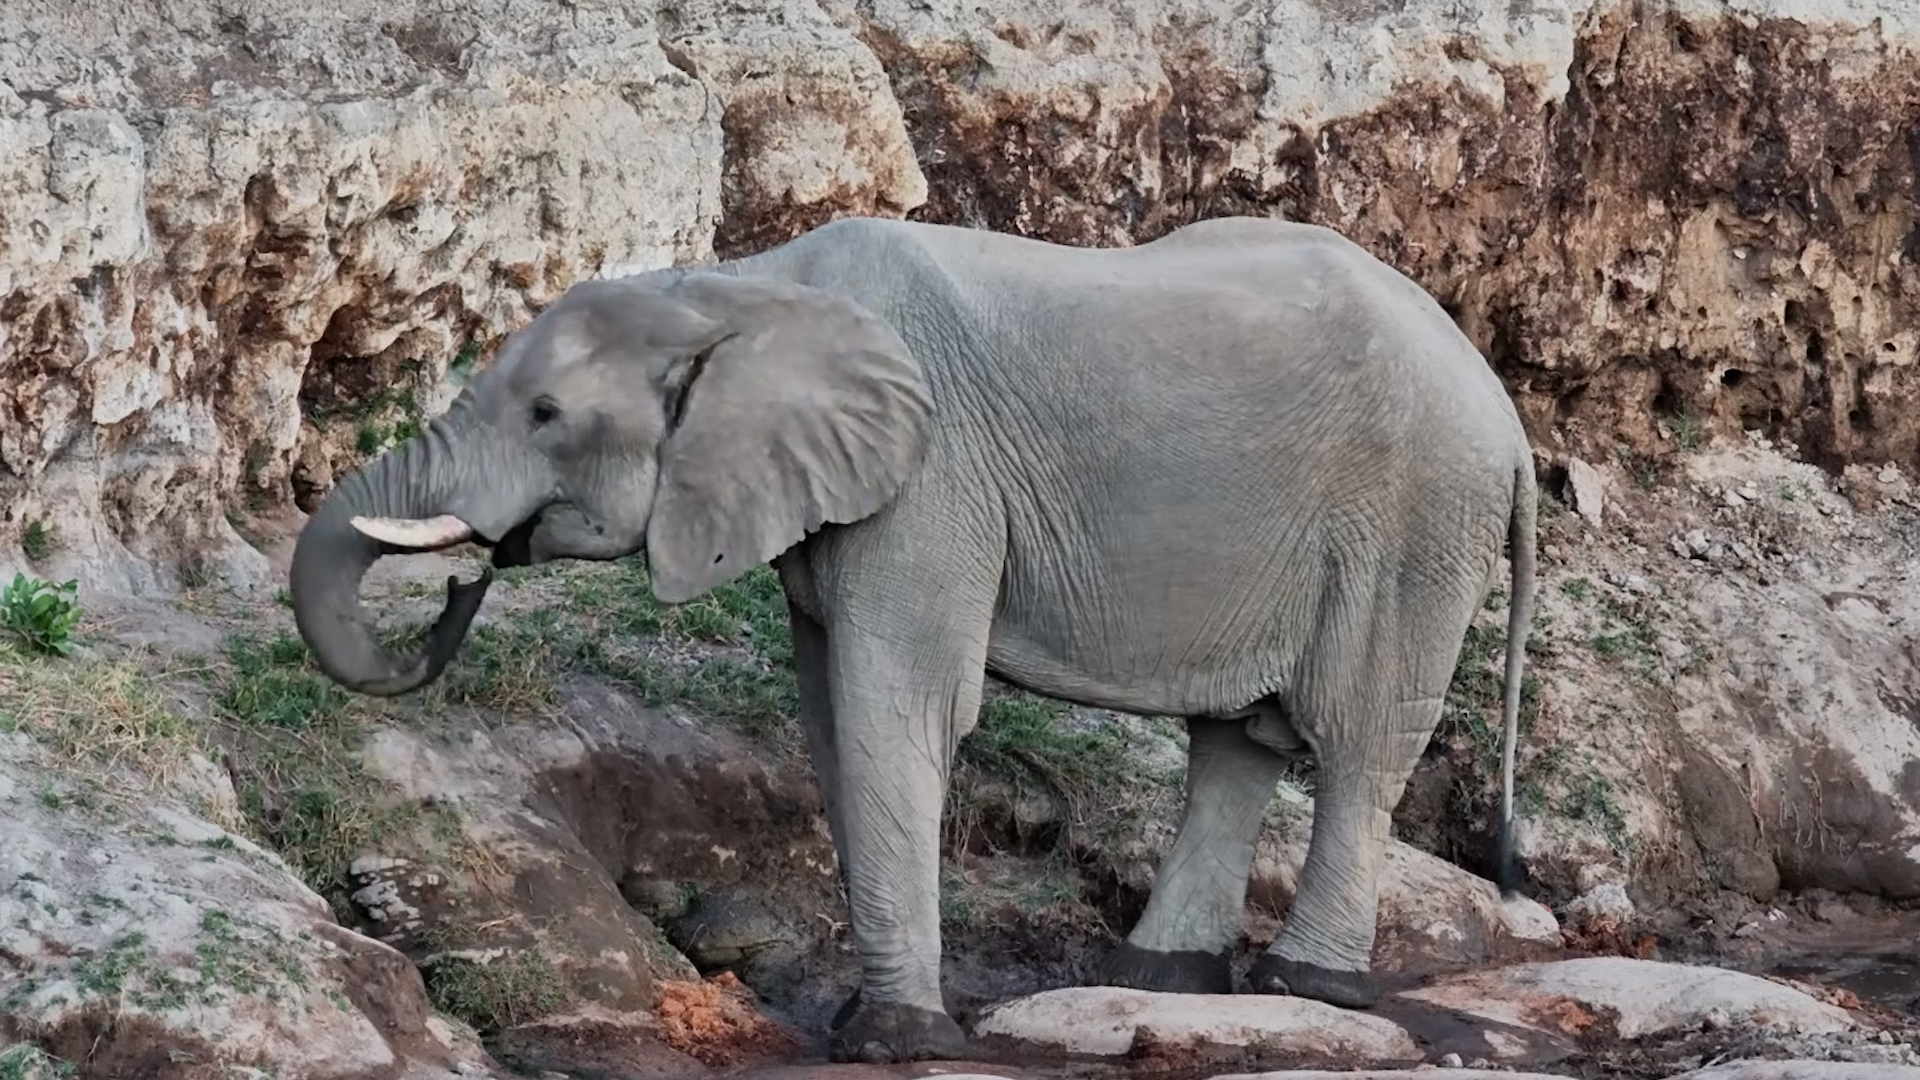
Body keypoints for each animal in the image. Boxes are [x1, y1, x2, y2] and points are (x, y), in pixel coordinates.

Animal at [288, 214, 1537, 1064]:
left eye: (548, 416)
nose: (466, 579)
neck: (739, 288)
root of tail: (1509, 412)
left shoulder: (932, 484)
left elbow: (898, 706)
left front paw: (893, 1036)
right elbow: (833, 719)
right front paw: (869, 1013)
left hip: (1417, 520)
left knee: (1355, 742)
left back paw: (1307, 987)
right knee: (1236, 740)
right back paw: (1159, 973)